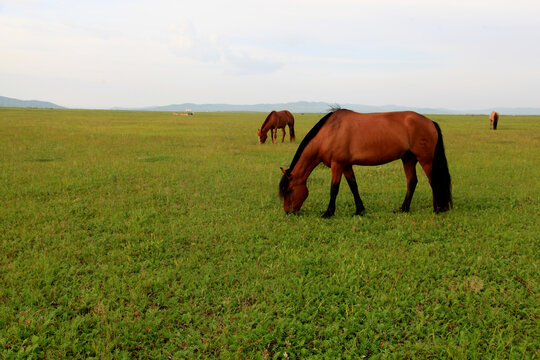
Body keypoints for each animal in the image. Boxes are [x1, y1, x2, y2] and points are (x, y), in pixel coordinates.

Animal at [278, 109, 452, 217]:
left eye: (289, 190)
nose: (288, 212)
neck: (330, 132)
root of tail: (430, 122)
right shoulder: (346, 165)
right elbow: (353, 186)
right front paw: (359, 210)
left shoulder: (337, 164)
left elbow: (334, 189)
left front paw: (328, 213)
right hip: (408, 159)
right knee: (412, 182)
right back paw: (403, 209)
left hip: (425, 159)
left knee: (433, 181)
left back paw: (438, 209)